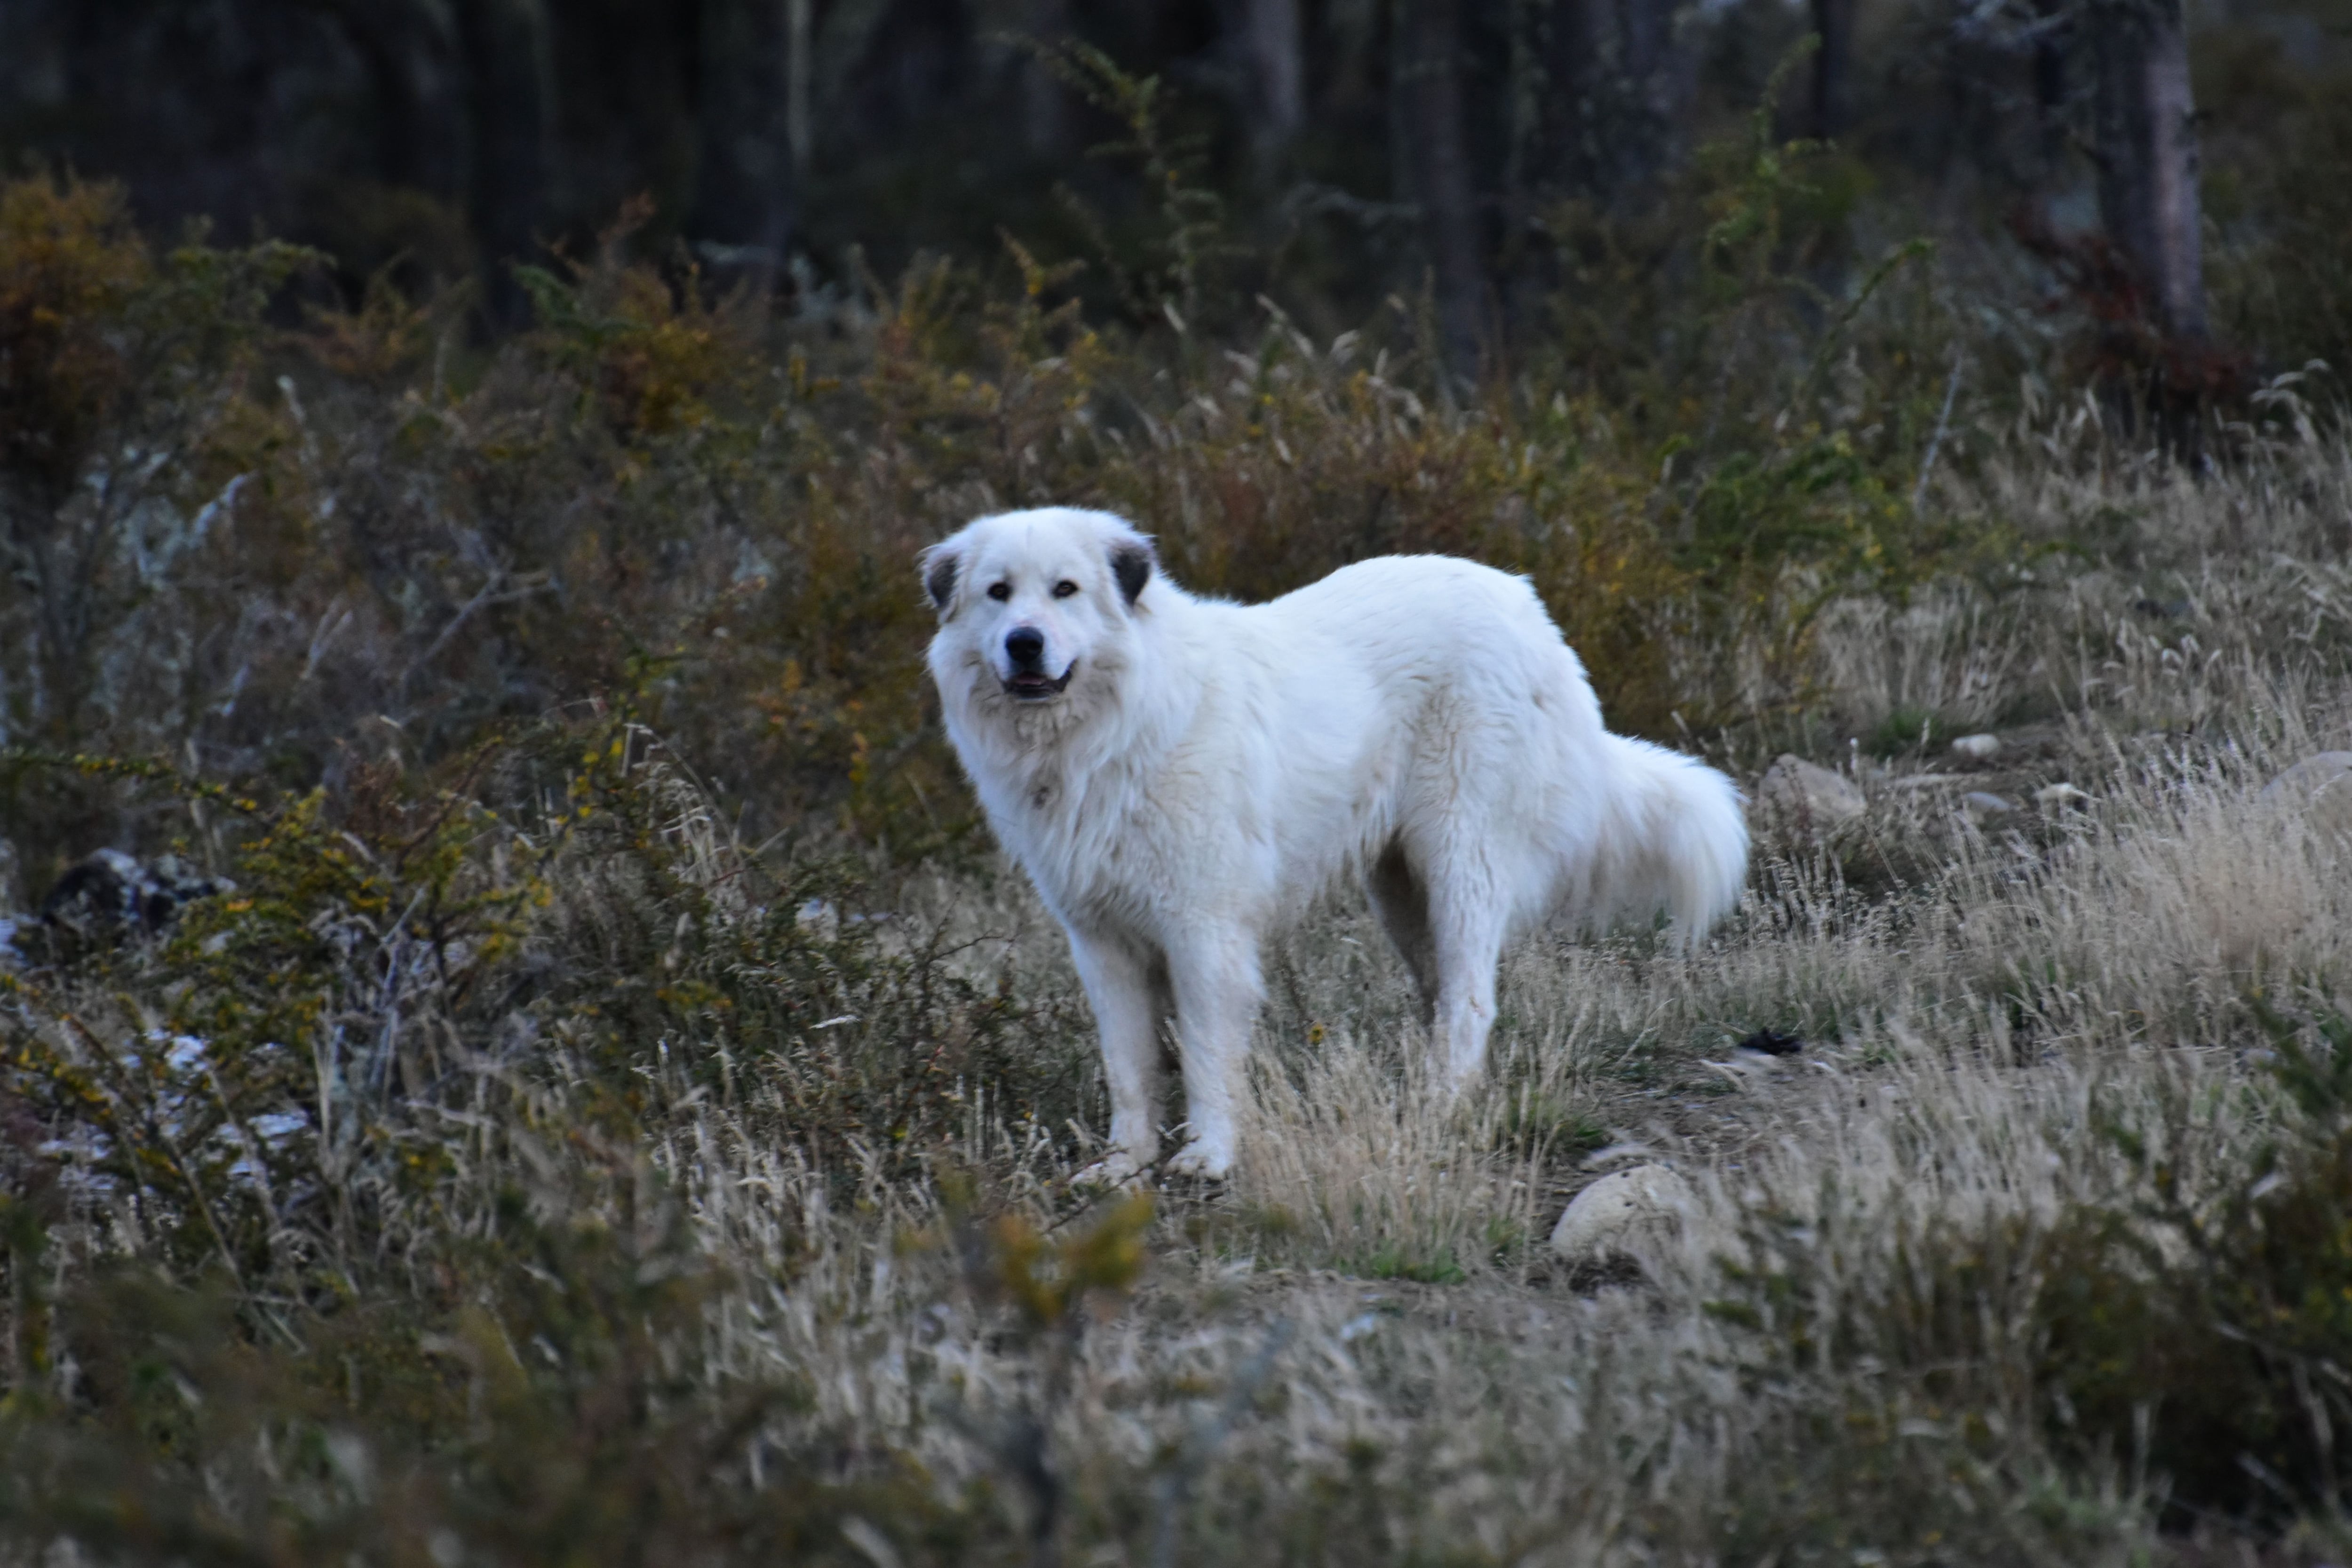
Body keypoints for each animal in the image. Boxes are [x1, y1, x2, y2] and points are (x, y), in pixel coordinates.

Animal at [922, 505, 1750, 1175]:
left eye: (1065, 590)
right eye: (998, 593)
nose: (1025, 644)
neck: (1109, 732)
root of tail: (1525, 604)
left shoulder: (1203, 932)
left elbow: (1206, 1055)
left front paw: (1210, 1157)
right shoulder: (1102, 943)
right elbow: (1129, 1066)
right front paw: (1125, 1166)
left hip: (1461, 860)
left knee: (1472, 999)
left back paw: (1440, 1105)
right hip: (1401, 889)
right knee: (1442, 990)